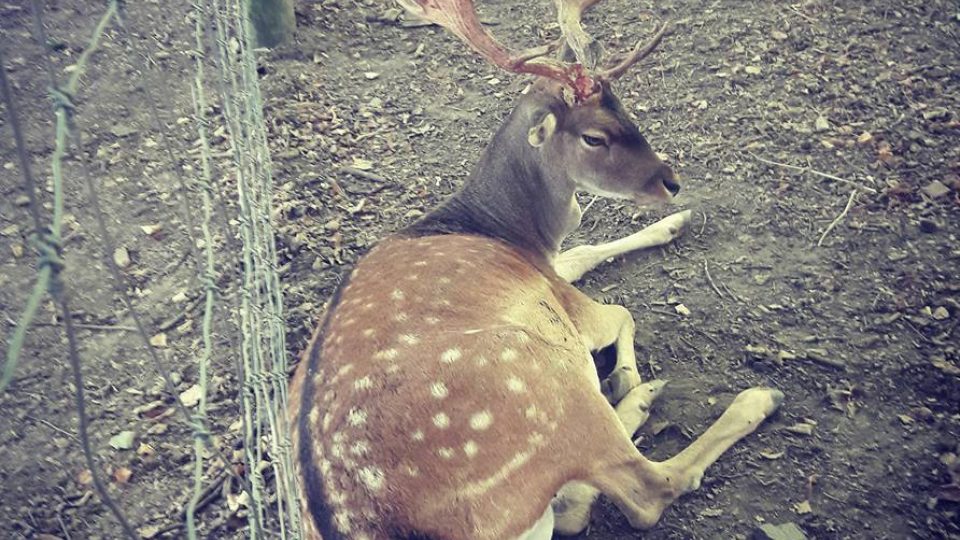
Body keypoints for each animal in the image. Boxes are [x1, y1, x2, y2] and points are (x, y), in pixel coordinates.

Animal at [284, 2, 780, 536]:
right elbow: (623, 311)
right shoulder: (563, 302)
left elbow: (582, 253)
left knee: (578, 503)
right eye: (594, 136)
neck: (509, 228)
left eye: (627, 110)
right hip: (544, 379)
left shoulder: (549, 265)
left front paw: (676, 222)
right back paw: (737, 397)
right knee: (647, 490)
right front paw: (627, 374)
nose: (671, 182)